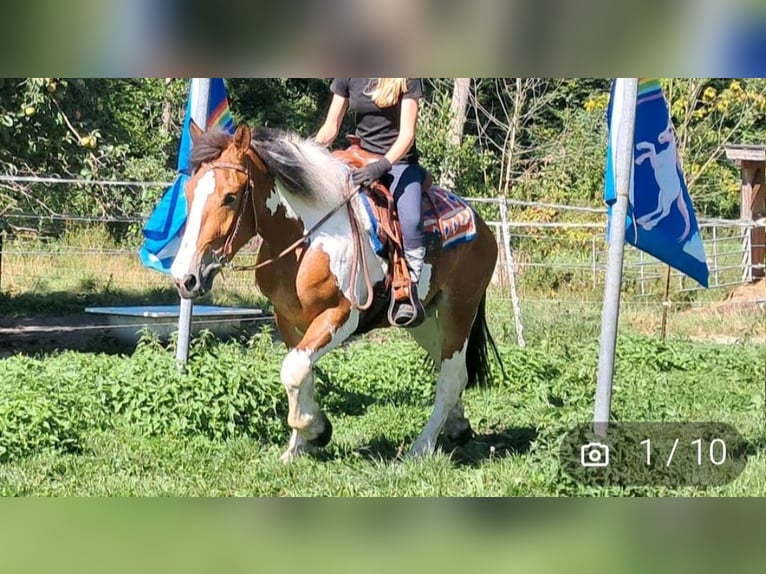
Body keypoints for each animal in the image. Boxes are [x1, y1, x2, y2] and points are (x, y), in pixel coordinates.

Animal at [169, 121, 502, 463]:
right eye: (189, 192)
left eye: (230, 197)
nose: (185, 278)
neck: (308, 240)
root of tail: (481, 226)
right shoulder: (288, 319)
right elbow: (303, 374)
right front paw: (298, 446)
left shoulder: (340, 317)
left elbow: (293, 370)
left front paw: (316, 430)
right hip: (423, 320)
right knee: (448, 366)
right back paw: (457, 425)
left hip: (458, 310)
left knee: (452, 376)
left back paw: (420, 447)